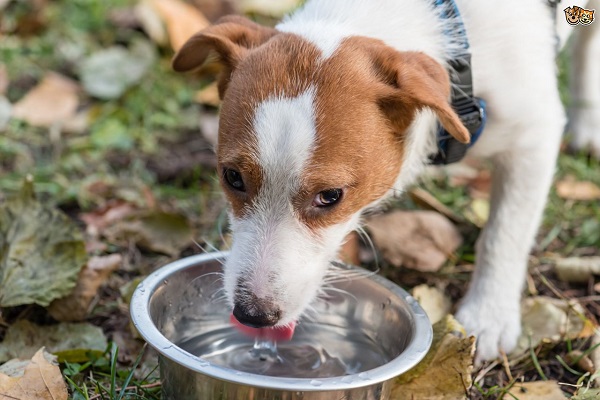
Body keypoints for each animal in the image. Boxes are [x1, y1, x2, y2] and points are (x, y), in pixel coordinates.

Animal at [173, 0, 600, 362]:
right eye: (232, 177)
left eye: (331, 196)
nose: (253, 315)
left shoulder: (534, 137)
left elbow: (504, 235)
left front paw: (488, 314)